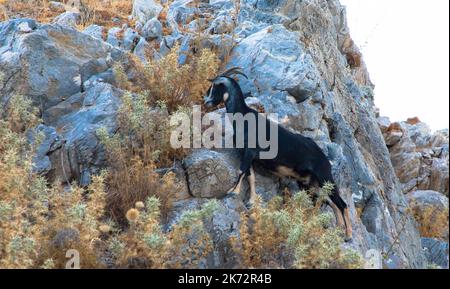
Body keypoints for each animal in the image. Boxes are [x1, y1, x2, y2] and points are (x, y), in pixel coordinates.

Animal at [205, 67, 356, 241]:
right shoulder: (249, 156)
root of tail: (325, 159)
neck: (244, 118)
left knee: (341, 203)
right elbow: (251, 176)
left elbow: (240, 171)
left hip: (324, 177)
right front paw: (251, 201)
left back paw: (348, 234)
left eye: (215, 86)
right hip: (309, 183)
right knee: (330, 202)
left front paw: (232, 192)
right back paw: (338, 229)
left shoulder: (249, 152)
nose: (206, 101)